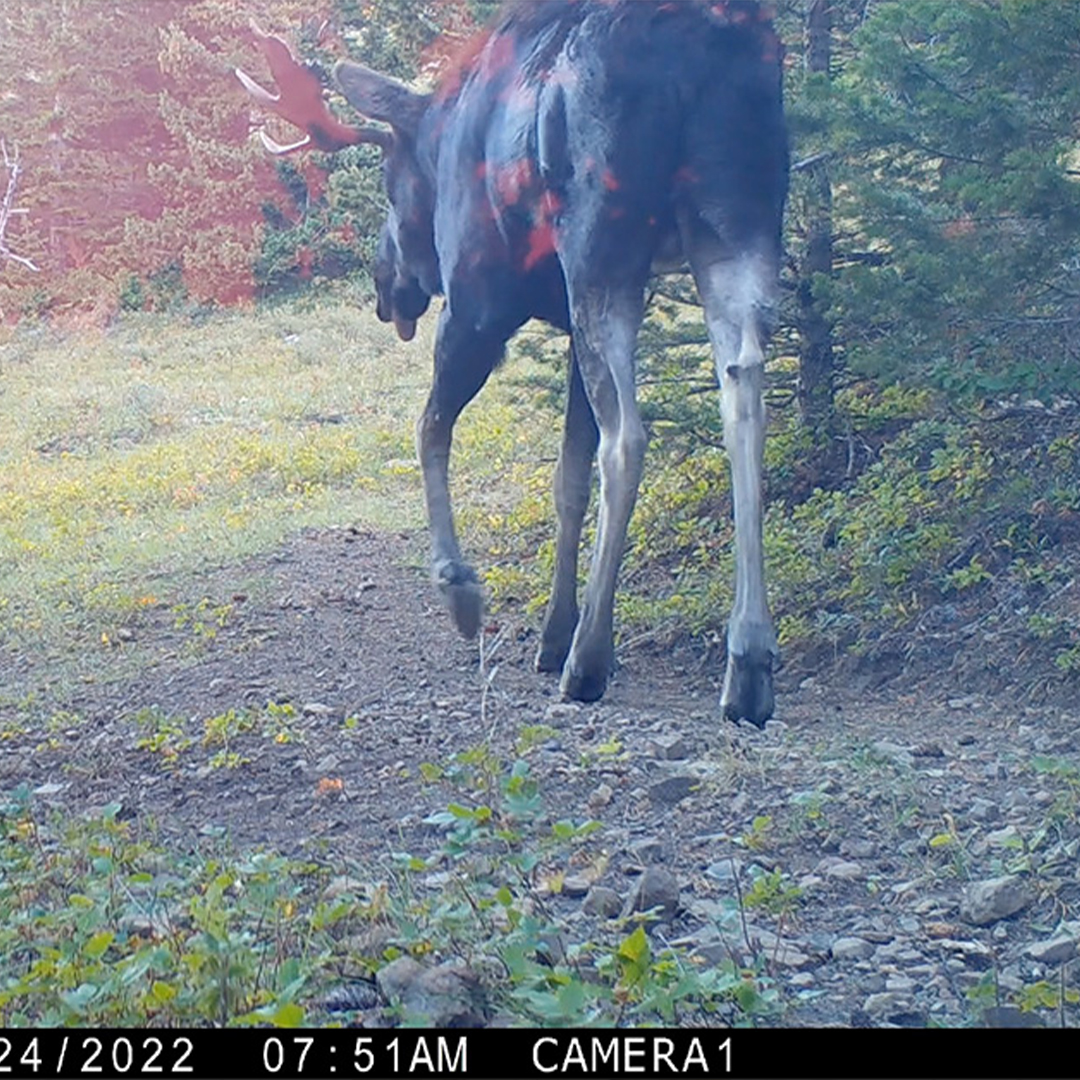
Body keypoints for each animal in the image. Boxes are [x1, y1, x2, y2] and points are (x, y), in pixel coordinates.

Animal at [236, 0, 788, 726]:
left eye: (389, 185)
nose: (384, 288)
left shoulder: (478, 301)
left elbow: (429, 428)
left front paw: (461, 588)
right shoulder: (561, 322)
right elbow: (566, 480)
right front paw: (552, 631)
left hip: (601, 246)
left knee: (628, 437)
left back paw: (590, 660)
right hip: (739, 219)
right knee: (742, 389)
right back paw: (748, 660)